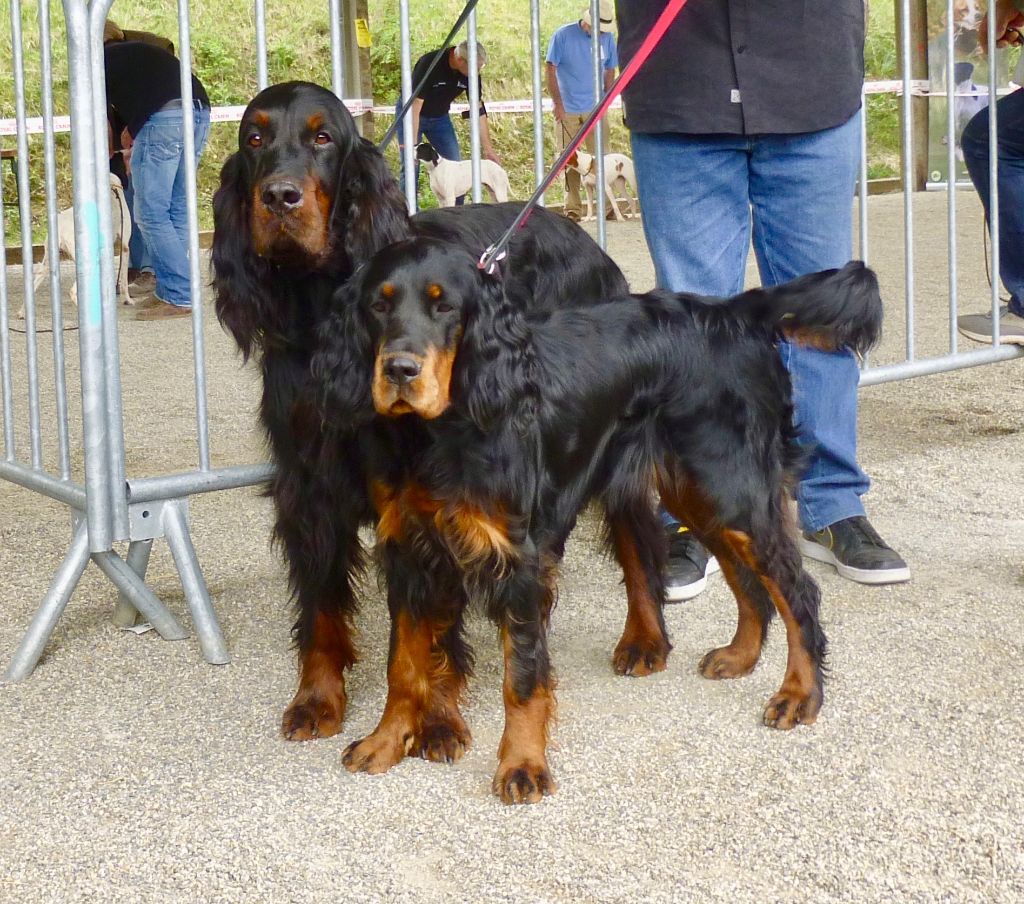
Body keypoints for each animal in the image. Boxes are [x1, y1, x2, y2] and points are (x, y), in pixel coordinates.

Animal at [18, 171, 132, 317]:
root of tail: (60, 225)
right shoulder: (125, 247)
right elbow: (124, 282)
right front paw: (128, 300)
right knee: (72, 291)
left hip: (48, 261)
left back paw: (22, 312)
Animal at [315, 236, 884, 802]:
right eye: (379, 304)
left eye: (445, 306)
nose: (399, 370)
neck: (436, 434)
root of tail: (732, 313)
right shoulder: (409, 549)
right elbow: (404, 664)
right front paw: (386, 741)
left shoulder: (518, 557)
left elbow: (521, 676)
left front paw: (522, 764)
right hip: (696, 492)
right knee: (748, 579)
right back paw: (740, 656)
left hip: (730, 486)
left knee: (796, 588)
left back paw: (800, 693)